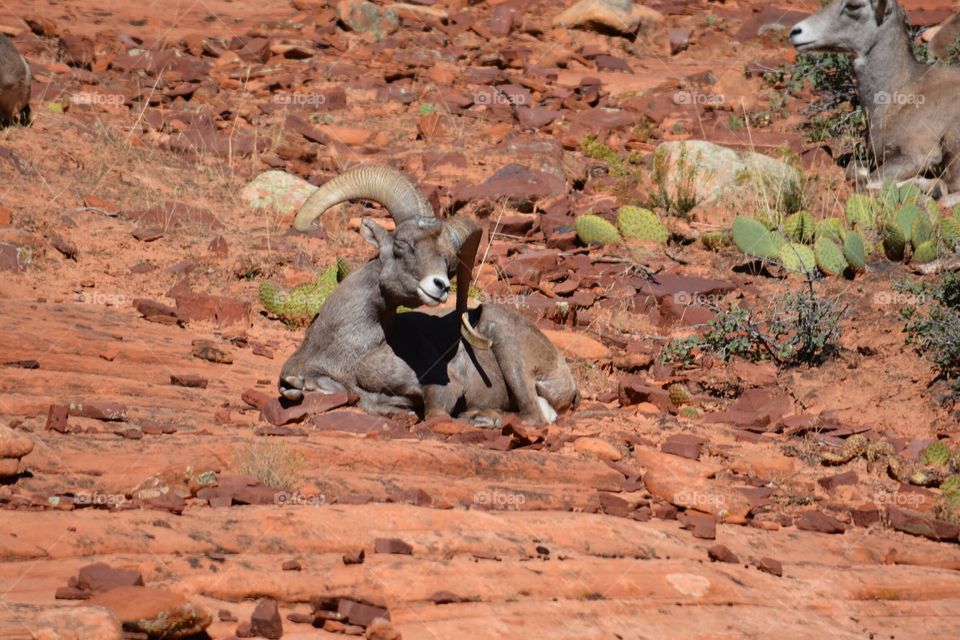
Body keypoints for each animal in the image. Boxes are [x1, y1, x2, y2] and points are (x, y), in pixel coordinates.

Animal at [278, 166, 576, 424]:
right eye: (402, 245)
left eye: (450, 266)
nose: (440, 286)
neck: (346, 349)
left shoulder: (443, 388)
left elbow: (432, 411)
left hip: (506, 346)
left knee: (533, 417)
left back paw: (482, 419)